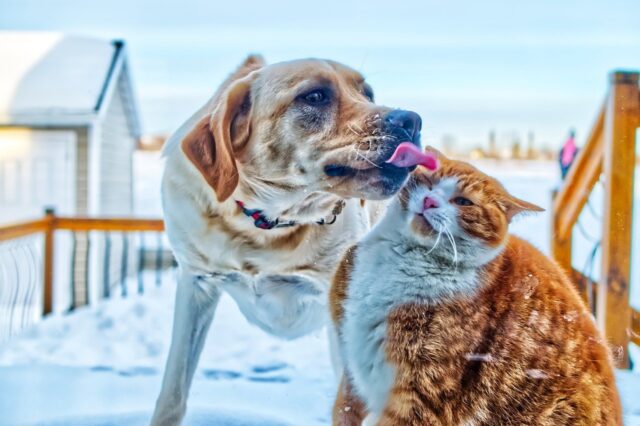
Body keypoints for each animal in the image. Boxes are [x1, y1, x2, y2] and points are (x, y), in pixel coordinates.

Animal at [149, 55, 420, 424]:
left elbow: (349, 405)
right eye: (315, 96)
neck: (268, 225)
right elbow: (173, 390)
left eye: (368, 93)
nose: (412, 121)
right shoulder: (196, 283)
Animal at [330, 150, 620, 426]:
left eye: (463, 202)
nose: (429, 201)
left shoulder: (422, 394)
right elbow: (344, 409)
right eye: (429, 182)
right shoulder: (351, 372)